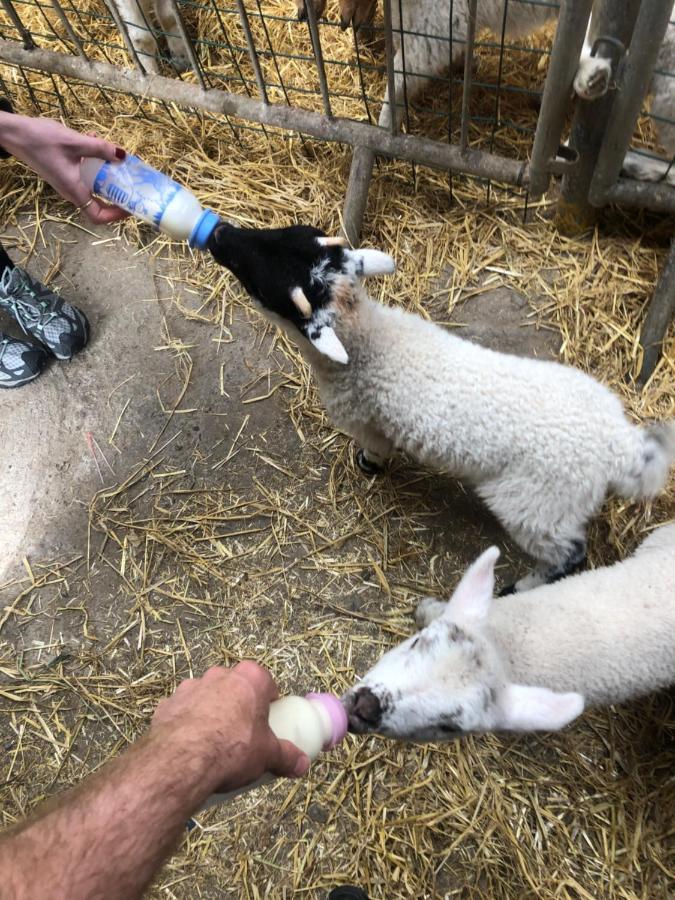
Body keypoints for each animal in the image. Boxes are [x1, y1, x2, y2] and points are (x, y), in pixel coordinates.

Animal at [211, 223, 675, 592]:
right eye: (282, 234)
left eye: (263, 284)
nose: (218, 233)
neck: (371, 345)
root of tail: (622, 447)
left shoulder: (367, 420)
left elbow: (376, 447)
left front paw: (368, 466)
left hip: (537, 505)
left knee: (569, 553)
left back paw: (522, 586)